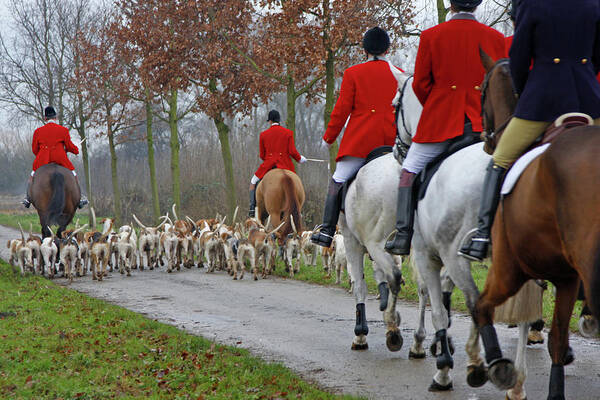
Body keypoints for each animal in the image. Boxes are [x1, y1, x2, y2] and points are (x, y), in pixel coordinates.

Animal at [466, 54, 600, 400]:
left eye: (481, 90)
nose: (486, 142)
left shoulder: (509, 267)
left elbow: (482, 306)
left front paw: (499, 368)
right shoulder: (567, 277)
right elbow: (558, 339)